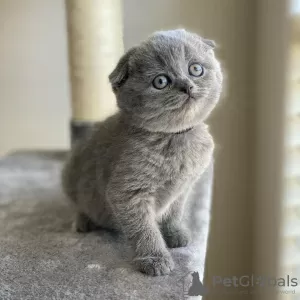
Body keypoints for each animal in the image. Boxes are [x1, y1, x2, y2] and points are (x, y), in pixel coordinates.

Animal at [62, 29, 223, 276]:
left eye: (196, 69)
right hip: (71, 176)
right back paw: (83, 221)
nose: (187, 86)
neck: (175, 138)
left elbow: (175, 211)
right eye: (161, 81)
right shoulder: (128, 192)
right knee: (78, 204)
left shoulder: (183, 188)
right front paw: (154, 258)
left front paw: (174, 233)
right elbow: (144, 229)